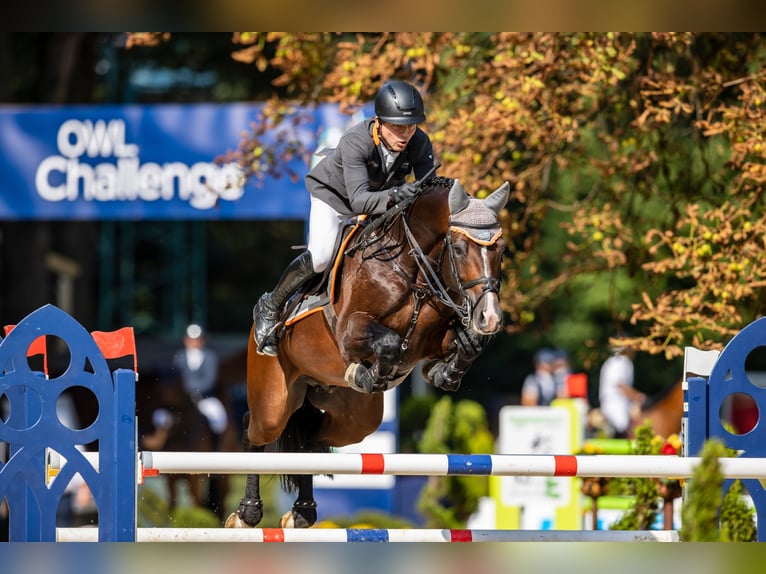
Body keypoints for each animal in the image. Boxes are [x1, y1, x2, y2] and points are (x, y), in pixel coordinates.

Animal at [226, 177, 510, 532]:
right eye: (459, 249)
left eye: (501, 249)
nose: (491, 317)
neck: (410, 268)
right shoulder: (350, 331)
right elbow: (388, 342)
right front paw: (369, 373)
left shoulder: (433, 336)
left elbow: (469, 343)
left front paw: (444, 372)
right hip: (274, 401)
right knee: (255, 429)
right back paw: (246, 514)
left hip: (356, 419)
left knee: (310, 440)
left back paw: (302, 512)